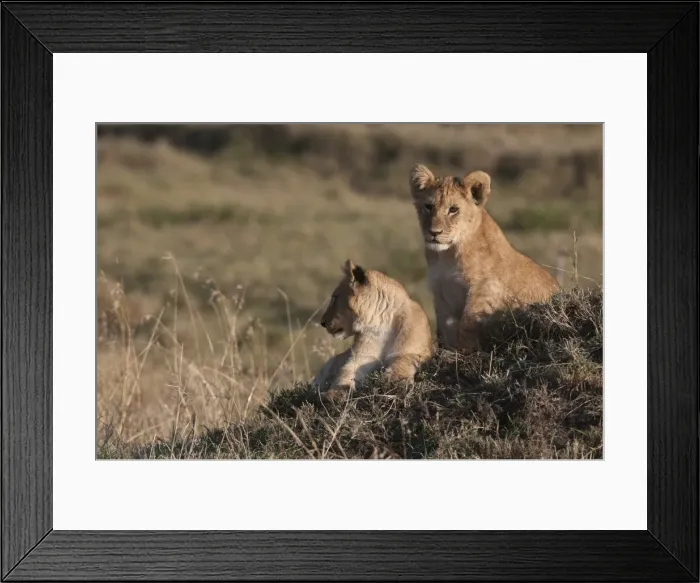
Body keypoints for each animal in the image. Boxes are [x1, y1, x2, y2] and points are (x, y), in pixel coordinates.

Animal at [312, 260, 433, 400]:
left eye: (334, 298)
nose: (322, 322)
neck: (381, 322)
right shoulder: (361, 357)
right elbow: (346, 371)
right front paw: (335, 393)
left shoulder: (414, 352)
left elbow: (403, 361)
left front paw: (395, 380)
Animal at [409, 163, 560, 352]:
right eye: (428, 206)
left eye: (453, 209)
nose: (434, 232)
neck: (446, 255)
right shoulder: (441, 293)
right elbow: (444, 330)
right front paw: (446, 354)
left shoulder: (485, 289)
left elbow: (467, 324)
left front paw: (463, 354)